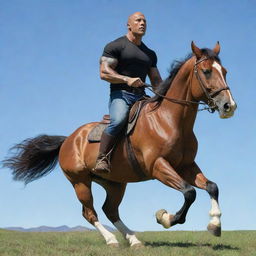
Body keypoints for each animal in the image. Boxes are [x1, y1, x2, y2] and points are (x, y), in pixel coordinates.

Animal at [3, 42, 237, 248]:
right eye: (206, 71)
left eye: (224, 71)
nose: (229, 106)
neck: (168, 120)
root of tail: (68, 139)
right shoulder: (158, 166)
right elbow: (189, 192)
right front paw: (165, 217)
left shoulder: (186, 166)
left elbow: (211, 187)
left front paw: (215, 224)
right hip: (80, 182)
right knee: (90, 212)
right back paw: (112, 240)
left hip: (115, 184)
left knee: (110, 210)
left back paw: (134, 240)